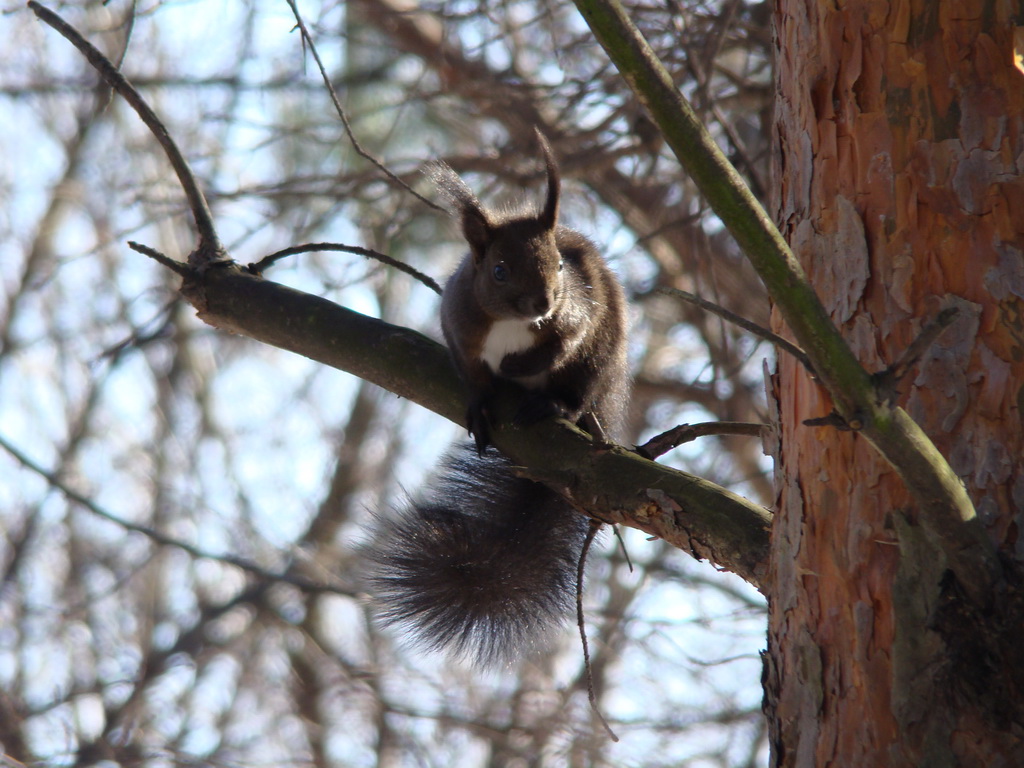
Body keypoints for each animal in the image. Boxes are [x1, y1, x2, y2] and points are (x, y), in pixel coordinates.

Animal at [364, 134, 626, 667]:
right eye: (500, 270)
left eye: (561, 264)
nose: (543, 302)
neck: (512, 324)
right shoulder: (458, 326)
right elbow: (472, 375)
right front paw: (482, 402)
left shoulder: (579, 311)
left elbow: (563, 342)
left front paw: (521, 366)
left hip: (600, 362)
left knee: (577, 392)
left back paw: (553, 406)